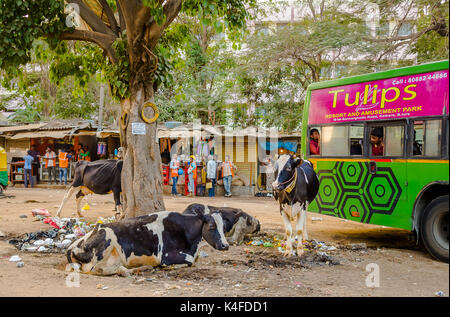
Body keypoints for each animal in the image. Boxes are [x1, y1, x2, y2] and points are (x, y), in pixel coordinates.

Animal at [65, 210, 230, 274]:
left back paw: (142, 268)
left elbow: (194, 260)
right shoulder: (166, 256)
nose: (225, 246)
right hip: (105, 243)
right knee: (100, 269)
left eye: (224, 227)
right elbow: (190, 262)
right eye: (212, 226)